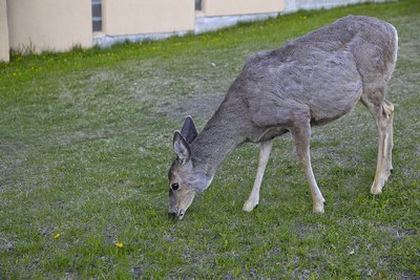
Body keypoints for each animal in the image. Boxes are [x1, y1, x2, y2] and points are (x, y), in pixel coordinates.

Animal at [167, 16, 398, 220]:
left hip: (372, 81)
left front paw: (318, 204)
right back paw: (388, 170)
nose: (172, 213)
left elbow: (303, 159)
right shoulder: (269, 131)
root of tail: (392, 30)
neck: (247, 118)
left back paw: (377, 184)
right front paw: (250, 203)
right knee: (390, 107)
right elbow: (261, 161)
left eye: (174, 184)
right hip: (369, 89)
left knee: (383, 117)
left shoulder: (298, 114)